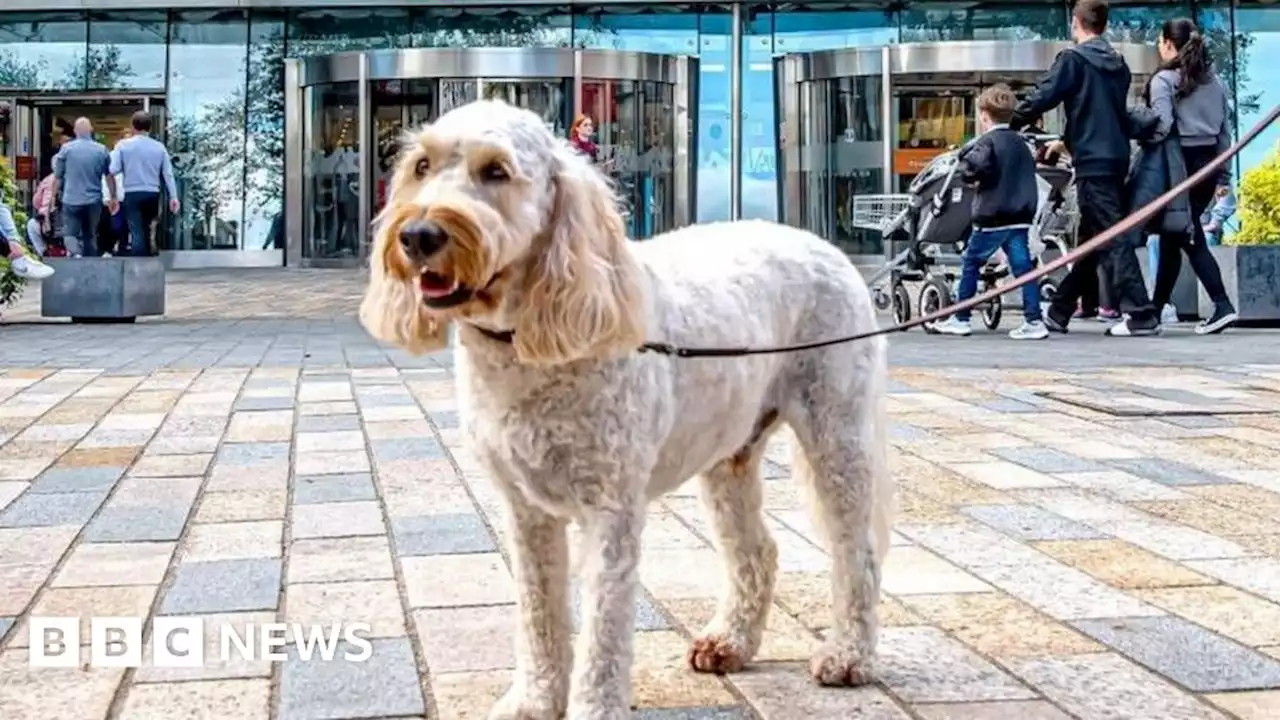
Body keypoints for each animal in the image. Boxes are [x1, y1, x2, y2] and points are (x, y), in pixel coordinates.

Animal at [360, 98, 896, 712]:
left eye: (496, 171)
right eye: (421, 166)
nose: (418, 234)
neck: (522, 340)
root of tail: (826, 246)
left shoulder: (611, 510)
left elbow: (603, 632)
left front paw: (591, 707)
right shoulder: (526, 511)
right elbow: (538, 615)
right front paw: (533, 702)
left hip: (837, 430)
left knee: (858, 549)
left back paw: (849, 656)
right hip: (728, 453)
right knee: (756, 549)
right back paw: (729, 641)